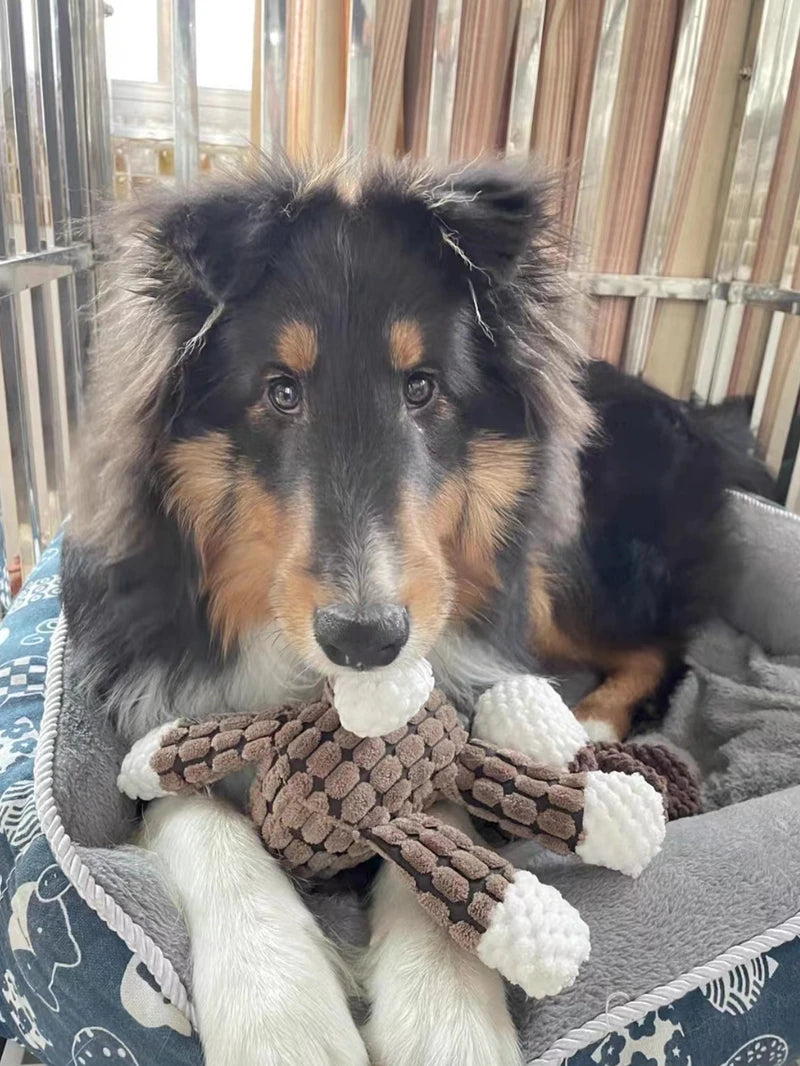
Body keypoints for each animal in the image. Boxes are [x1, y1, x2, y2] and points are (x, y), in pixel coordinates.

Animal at [59, 159, 772, 1066]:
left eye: (423, 388)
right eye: (280, 392)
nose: (367, 641)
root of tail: (700, 414)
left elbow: (432, 815)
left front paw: (447, 1020)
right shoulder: (154, 718)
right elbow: (203, 822)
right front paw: (283, 1018)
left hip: (551, 556)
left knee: (666, 648)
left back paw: (591, 722)